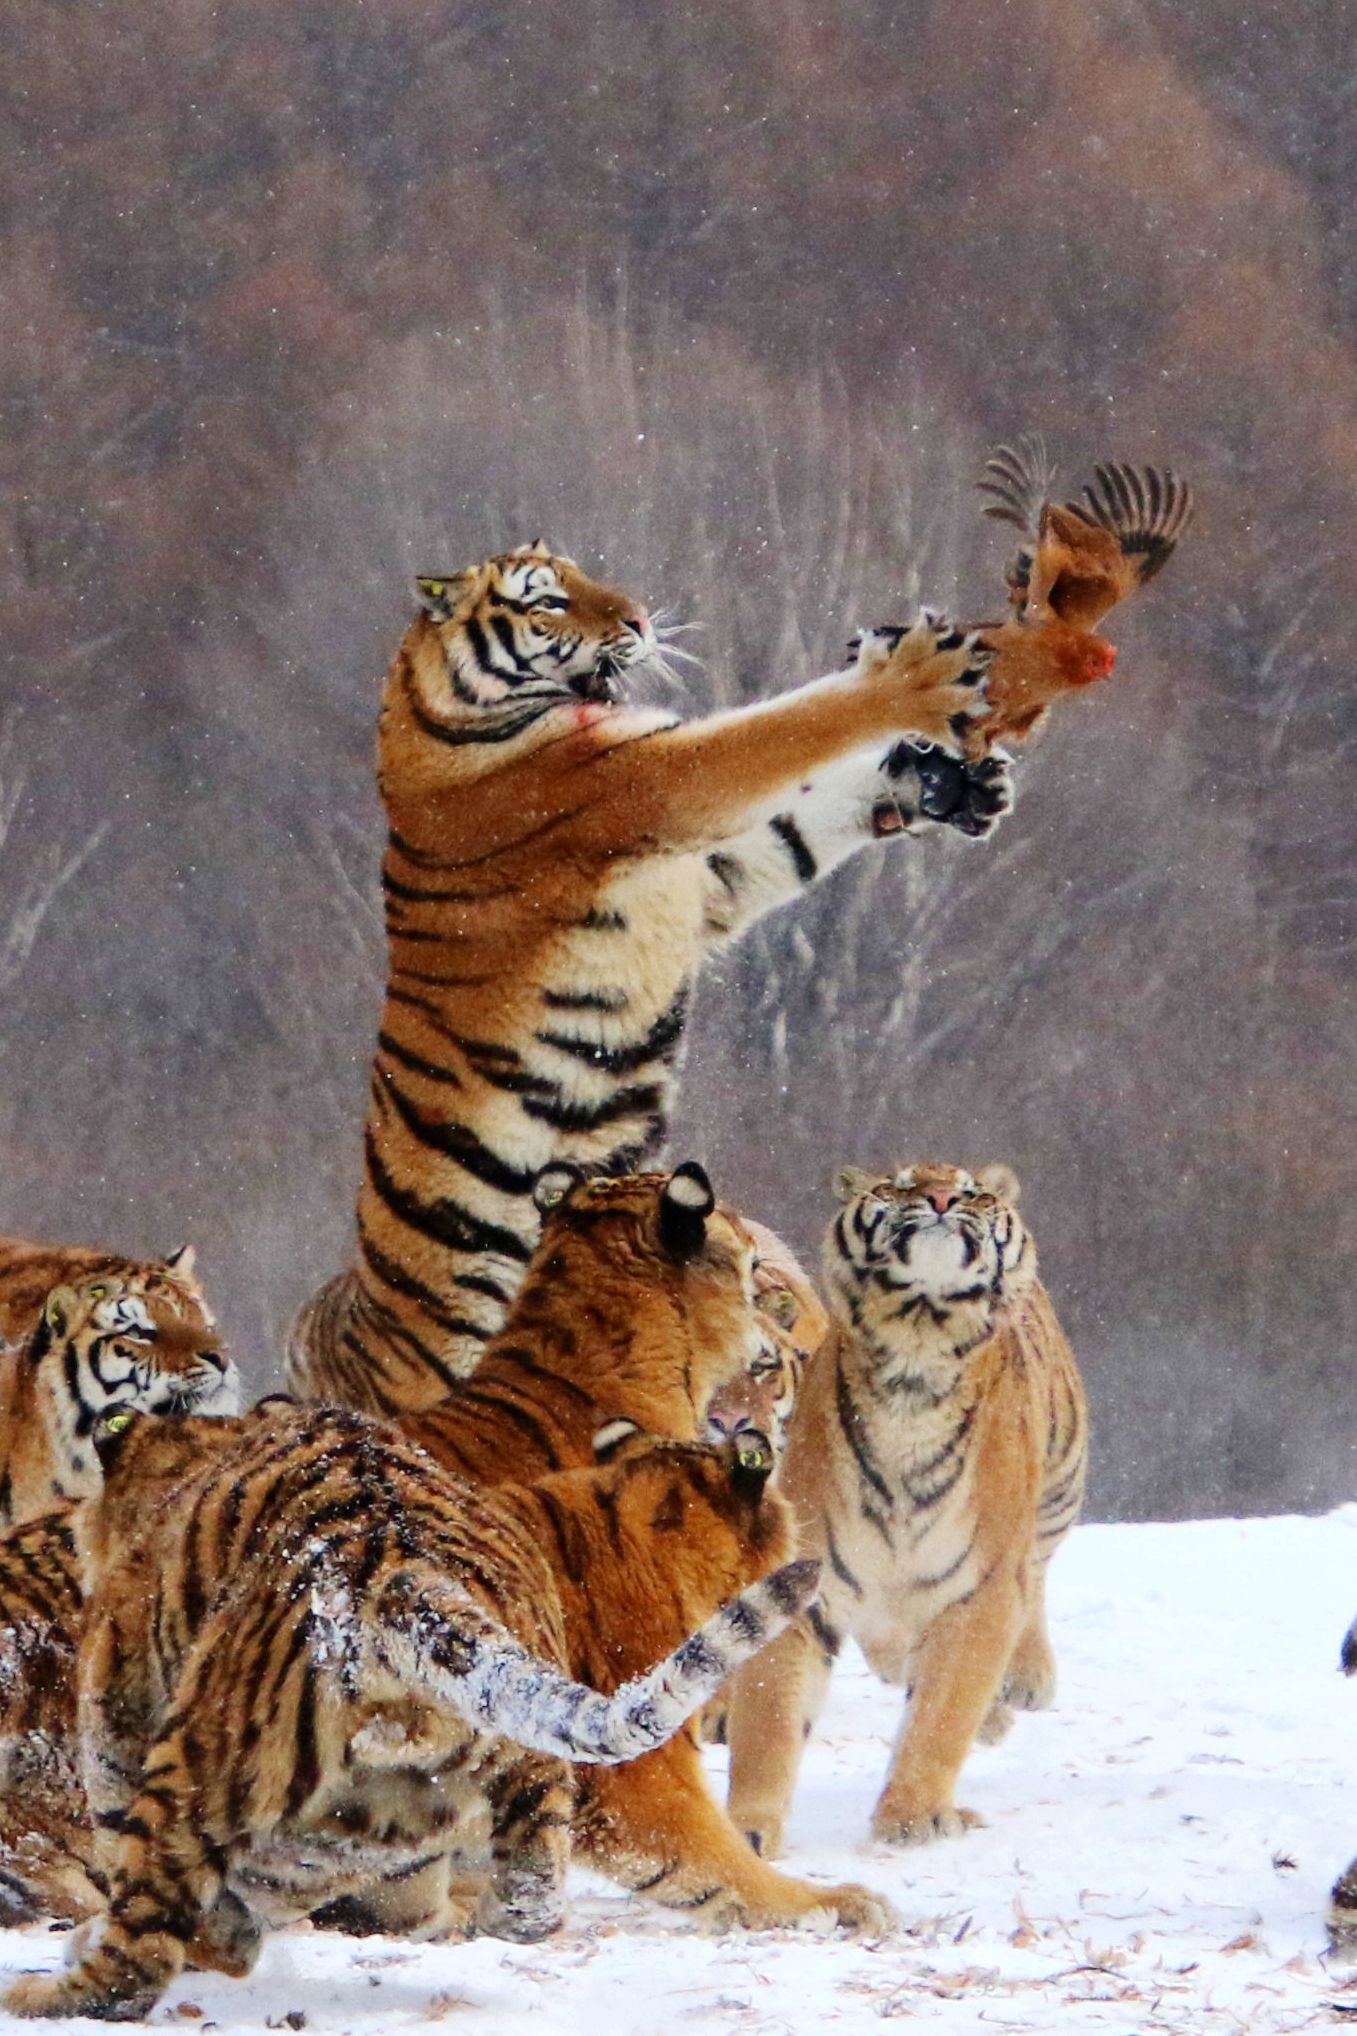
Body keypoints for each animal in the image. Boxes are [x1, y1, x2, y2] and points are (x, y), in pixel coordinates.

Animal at [284, 549, 1009, 1425]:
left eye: (579, 572)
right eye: (548, 600)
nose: (638, 620)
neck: (439, 712)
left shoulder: (713, 874)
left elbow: (801, 822)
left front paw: (944, 785)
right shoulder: (654, 784)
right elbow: (783, 728)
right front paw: (914, 676)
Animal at [728, 1156, 1090, 1856]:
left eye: (972, 1190)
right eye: (899, 1184)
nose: (944, 1197)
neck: (915, 1356)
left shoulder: (983, 1589)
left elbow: (942, 1712)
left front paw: (911, 1818)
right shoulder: (805, 1581)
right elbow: (769, 1717)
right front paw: (747, 1829)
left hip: (1058, 1490)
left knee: (1035, 1576)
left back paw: (1021, 1682)